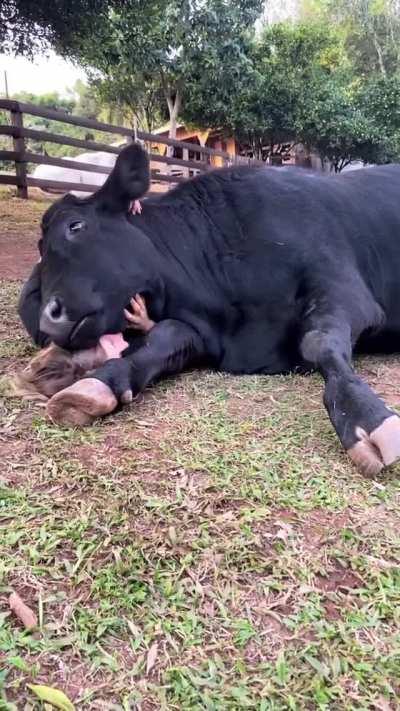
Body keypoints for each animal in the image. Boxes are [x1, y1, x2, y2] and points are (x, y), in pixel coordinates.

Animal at [18, 143, 400, 477]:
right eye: (39, 246)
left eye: (75, 226)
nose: (46, 319)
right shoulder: (205, 333)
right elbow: (164, 338)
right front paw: (100, 381)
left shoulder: (343, 287)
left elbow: (319, 342)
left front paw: (366, 417)